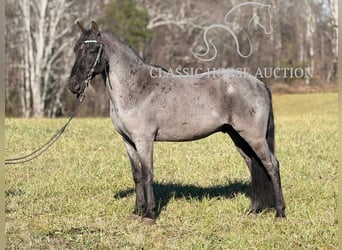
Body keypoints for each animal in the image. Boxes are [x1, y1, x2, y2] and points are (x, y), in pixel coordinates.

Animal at [68, 20, 284, 222]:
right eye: (76, 49)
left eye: (92, 50)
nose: (73, 85)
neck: (137, 88)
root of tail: (259, 83)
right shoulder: (128, 141)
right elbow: (137, 175)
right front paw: (137, 211)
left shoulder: (144, 140)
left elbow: (147, 174)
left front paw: (149, 214)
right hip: (238, 136)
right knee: (254, 165)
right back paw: (253, 210)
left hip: (254, 137)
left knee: (271, 165)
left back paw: (280, 212)